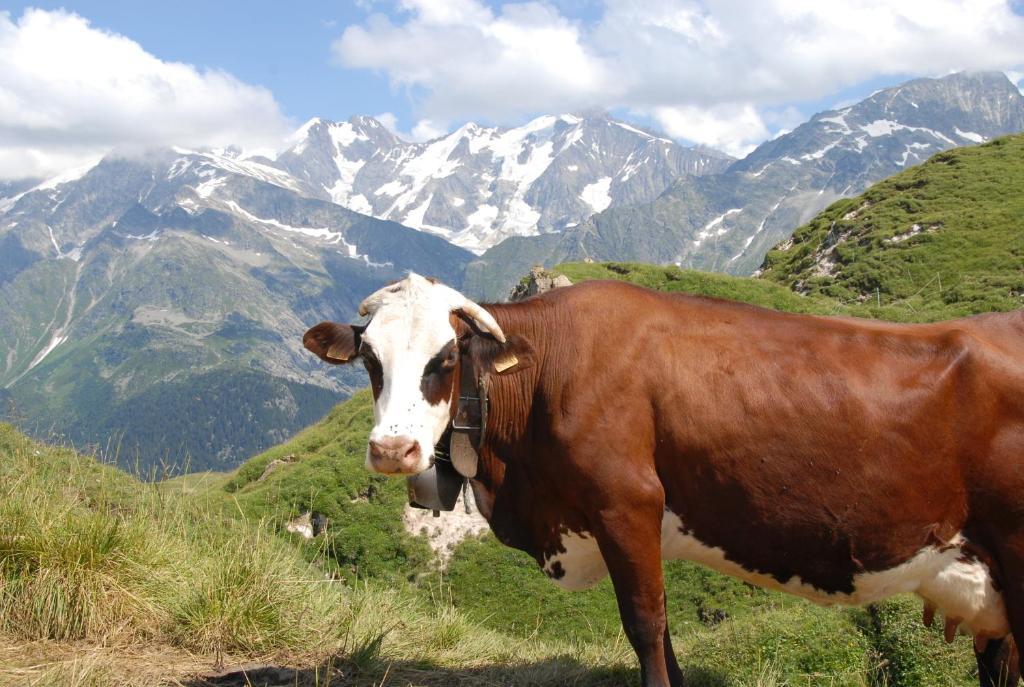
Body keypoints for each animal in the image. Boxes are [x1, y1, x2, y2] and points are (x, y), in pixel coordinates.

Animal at [301, 274, 1024, 687]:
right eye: (369, 358)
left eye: (446, 358)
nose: (392, 450)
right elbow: (665, 629)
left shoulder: (626, 504)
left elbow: (644, 625)